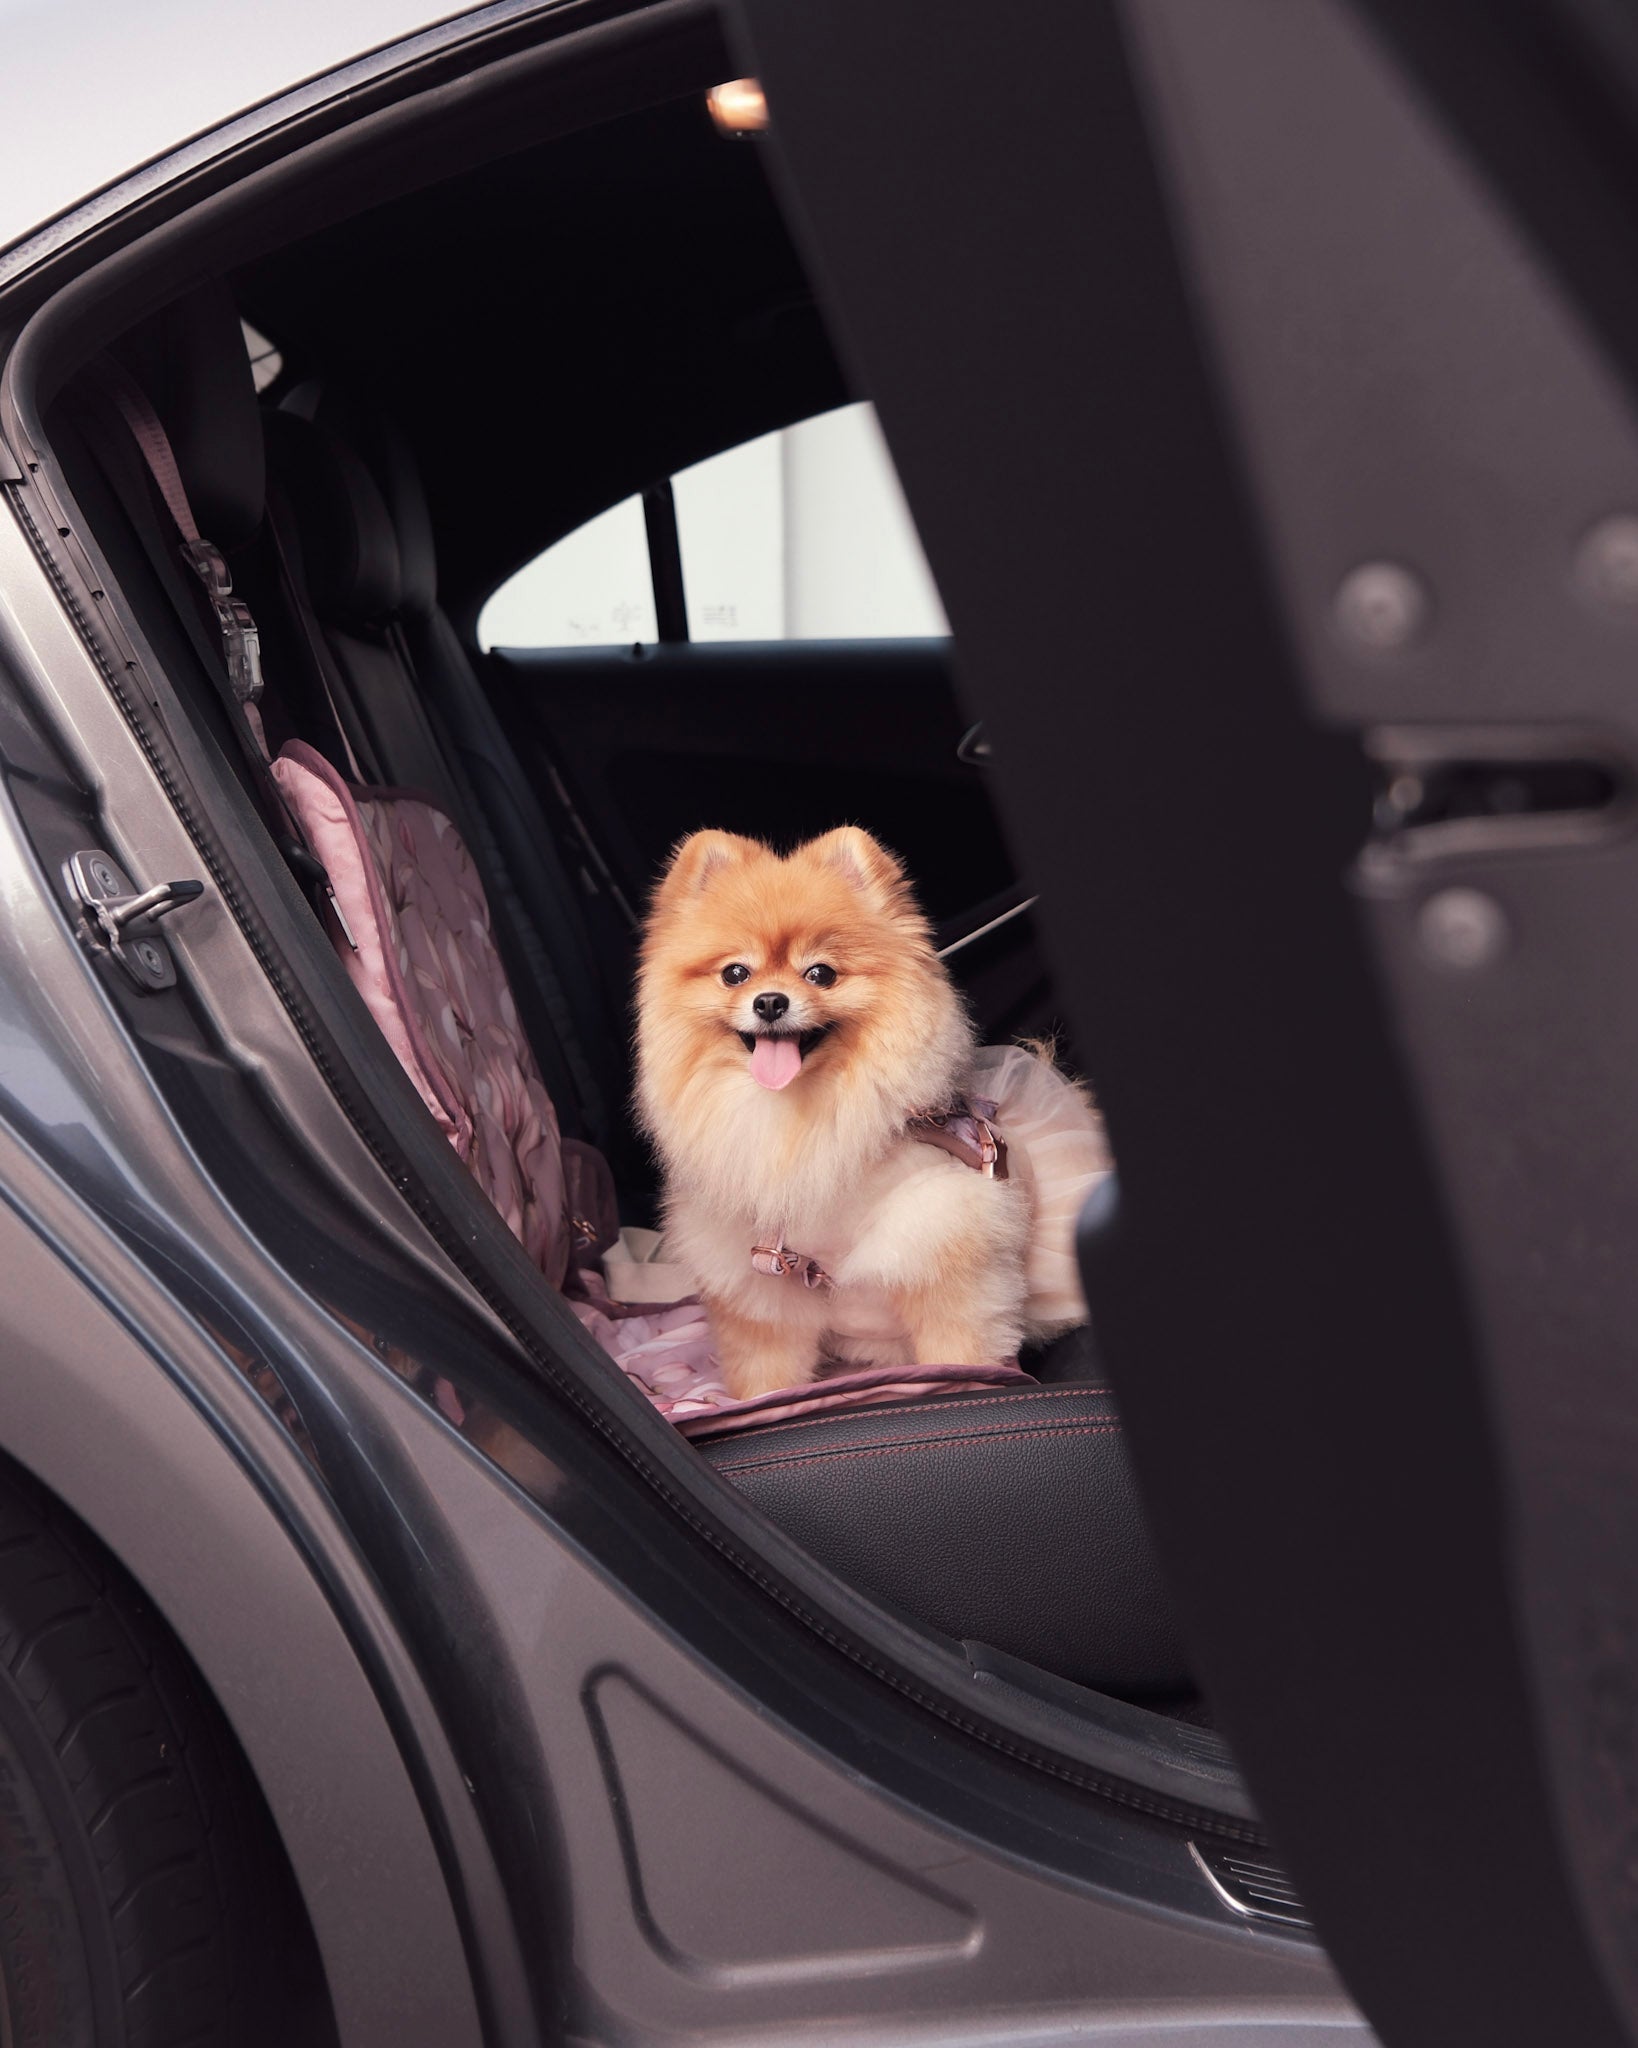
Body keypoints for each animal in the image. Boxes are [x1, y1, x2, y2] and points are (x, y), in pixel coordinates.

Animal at [635, 825, 1038, 1400]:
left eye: (820, 973)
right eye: (735, 974)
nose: (770, 1002)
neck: (795, 1116)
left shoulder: (944, 1247)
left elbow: (958, 1350)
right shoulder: (757, 1283)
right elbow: (766, 1372)